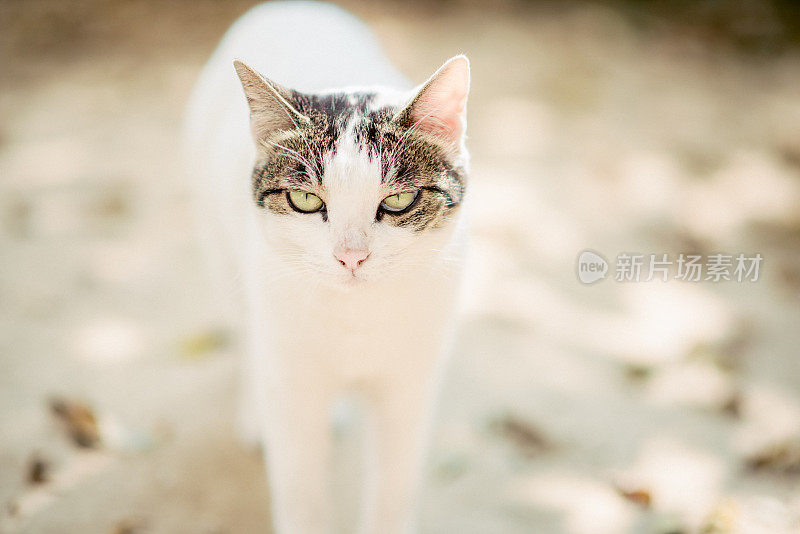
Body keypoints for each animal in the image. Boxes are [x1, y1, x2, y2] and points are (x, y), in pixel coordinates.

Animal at [183, 2, 468, 532]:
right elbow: (301, 494)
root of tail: (290, 7)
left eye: (398, 201)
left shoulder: (410, 386)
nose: (350, 255)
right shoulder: (293, 388)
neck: (355, 317)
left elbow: (393, 489)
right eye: (305, 200)